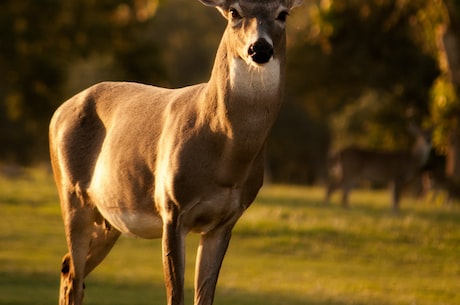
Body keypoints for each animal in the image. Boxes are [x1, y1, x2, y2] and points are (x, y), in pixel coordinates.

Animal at [48, 0, 304, 304]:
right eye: (234, 12)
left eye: (283, 14)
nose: (260, 48)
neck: (226, 157)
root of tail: (57, 113)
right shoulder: (171, 208)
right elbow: (175, 295)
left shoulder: (226, 220)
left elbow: (204, 296)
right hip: (72, 194)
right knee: (74, 275)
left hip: (108, 218)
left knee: (68, 268)